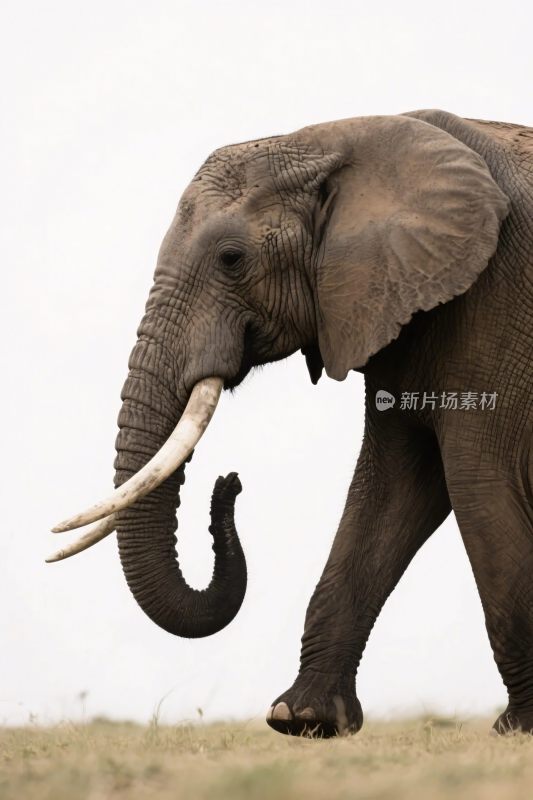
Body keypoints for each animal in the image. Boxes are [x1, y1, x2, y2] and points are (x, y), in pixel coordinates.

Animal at [50, 109, 533, 738]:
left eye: (232, 258)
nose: (230, 483)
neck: (344, 139)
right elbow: (390, 491)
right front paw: (302, 719)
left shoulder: (496, 306)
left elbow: (477, 486)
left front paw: (518, 728)